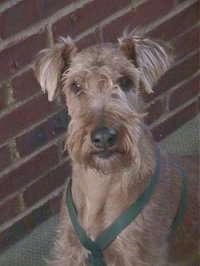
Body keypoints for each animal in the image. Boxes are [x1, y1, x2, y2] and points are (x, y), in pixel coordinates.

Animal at [33, 30, 199, 264]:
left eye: (126, 81)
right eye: (75, 85)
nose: (103, 137)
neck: (100, 184)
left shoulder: (138, 254)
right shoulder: (69, 247)